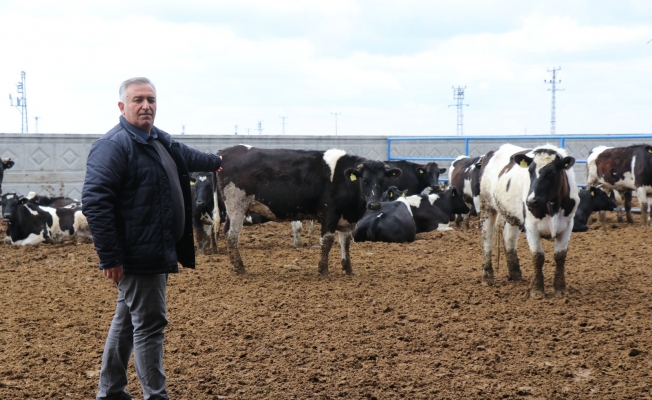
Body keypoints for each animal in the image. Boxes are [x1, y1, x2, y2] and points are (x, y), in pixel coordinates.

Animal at [215, 145, 401, 275]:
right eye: (365, 180)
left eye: (382, 180)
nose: (374, 205)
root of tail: (227, 152)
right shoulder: (329, 213)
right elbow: (327, 241)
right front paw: (323, 270)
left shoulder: (347, 219)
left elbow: (345, 242)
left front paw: (348, 269)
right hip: (236, 205)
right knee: (232, 236)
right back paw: (241, 268)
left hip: (234, 209)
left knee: (227, 232)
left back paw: (236, 267)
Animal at [479, 143, 579, 298]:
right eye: (530, 172)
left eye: (551, 173)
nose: (531, 201)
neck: (552, 207)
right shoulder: (531, 226)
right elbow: (538, 256)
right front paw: (536, 290)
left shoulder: (568, 225)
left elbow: (560, 256)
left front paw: (560, 289)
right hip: (487, 205)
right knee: (487, 239)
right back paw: (487, 275)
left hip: (512, 215)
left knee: (509, 238)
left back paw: (515, 274)